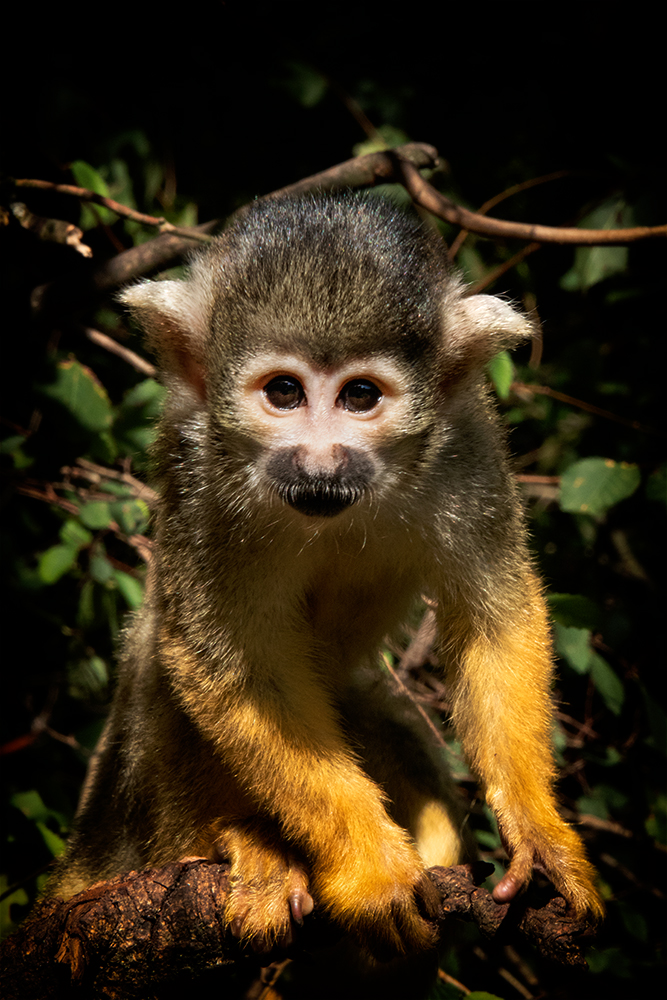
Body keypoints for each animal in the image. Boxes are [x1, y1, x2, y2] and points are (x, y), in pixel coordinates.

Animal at [53, 193, 604, 960]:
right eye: (284, 393)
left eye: (360, 396)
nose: (319, 463)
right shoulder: (201, 471)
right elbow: (227, 664)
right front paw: (372, 870)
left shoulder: (466, 440)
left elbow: (495, 619)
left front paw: (537, 829)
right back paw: (239, 845)